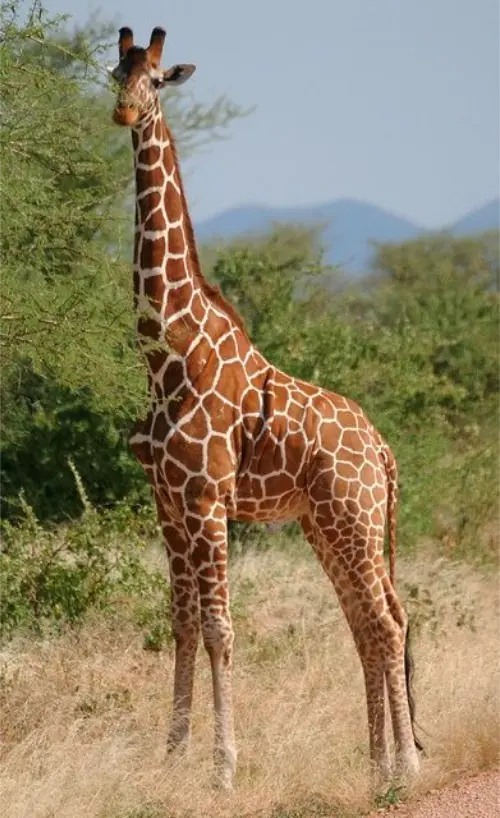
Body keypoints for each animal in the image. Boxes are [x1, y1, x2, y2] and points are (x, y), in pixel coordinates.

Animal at [109, 25, 422, 790]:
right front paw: (171, 756)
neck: (168, 352)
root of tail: (384, 451)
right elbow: (182, 623)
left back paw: (404, 768)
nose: (124, 113)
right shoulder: (168, 502)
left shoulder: (206, 499)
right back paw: (376, 766)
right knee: (368, 623)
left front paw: (223, 768)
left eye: (156, 80)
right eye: (113, 74)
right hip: (326, 524)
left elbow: (221, 629)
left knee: (388, 621)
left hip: (353, 518)